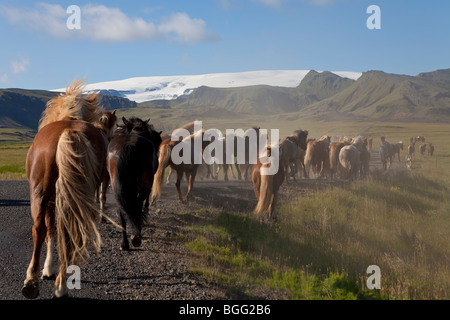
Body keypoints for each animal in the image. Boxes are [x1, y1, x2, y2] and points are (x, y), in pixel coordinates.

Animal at [23, 80, 109, 300]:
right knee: (70, 234)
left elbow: (50, 231)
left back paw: (36, 282)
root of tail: (69, 131)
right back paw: (57, 285)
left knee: (40, 229)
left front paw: (47, 269)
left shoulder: (49, 201)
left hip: (39, 194)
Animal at [106, 116, 163, 251]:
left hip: (117, 187)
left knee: (122, 211)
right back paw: (136, 236)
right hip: (143, 184)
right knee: (137, 203)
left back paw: (124, 244)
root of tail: (128, 146)